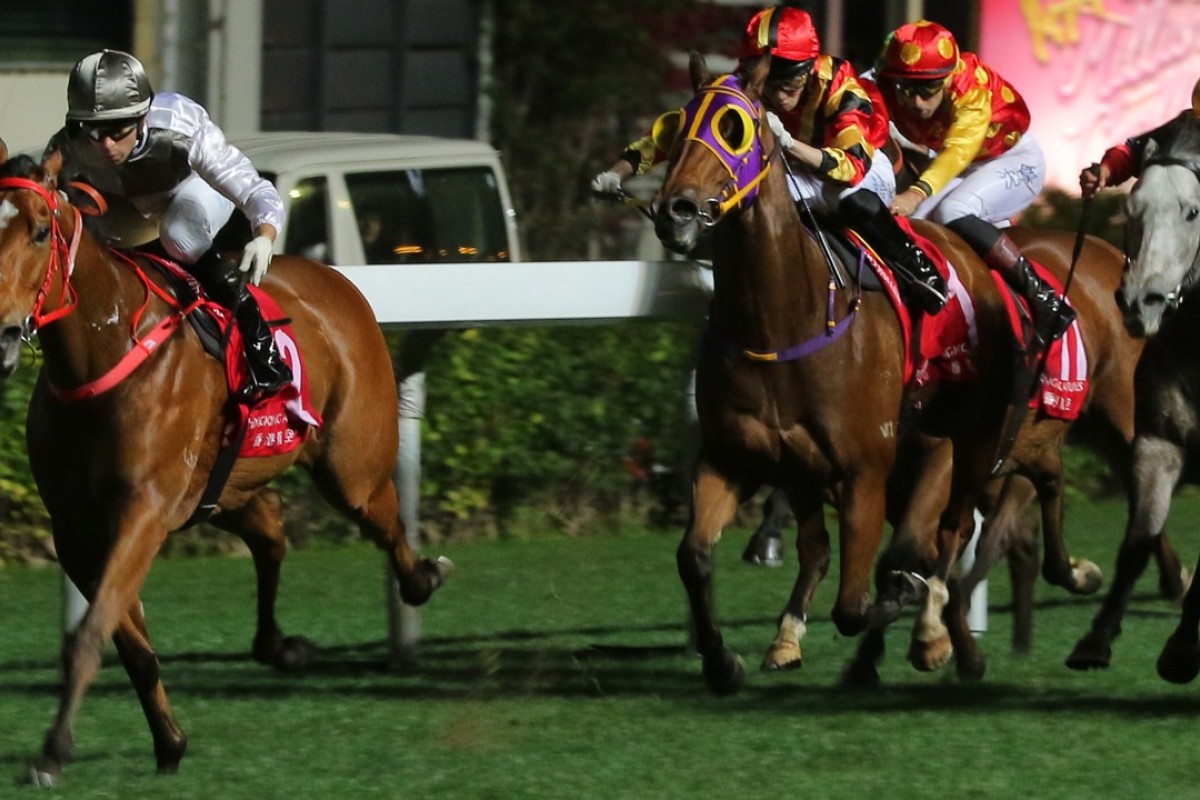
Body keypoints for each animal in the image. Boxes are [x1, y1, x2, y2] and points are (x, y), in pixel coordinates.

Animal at [0, 153, 451, 786]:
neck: (105, 349)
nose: (0, 334)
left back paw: (422, 578)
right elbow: (129, 645)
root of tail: (334, 278)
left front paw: (51, 752)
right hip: (222, 488)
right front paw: (168, 742)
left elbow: (90, 635)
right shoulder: (76, 530)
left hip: (350, 464)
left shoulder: (143, 513)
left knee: (380, 518)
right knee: (272, 530)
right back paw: (279, 646)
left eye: (40, 231)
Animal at [652, 57, 1027, 695]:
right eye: (676, 123)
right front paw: (723, 661)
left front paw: (909, 614)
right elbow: (694, 556)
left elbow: (862, 599)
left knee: (949, 534)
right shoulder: (734, 457)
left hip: (972, 441)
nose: (673, 210)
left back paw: (937, 637)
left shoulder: (864, 471)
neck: (780, 322)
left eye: (735, 127)